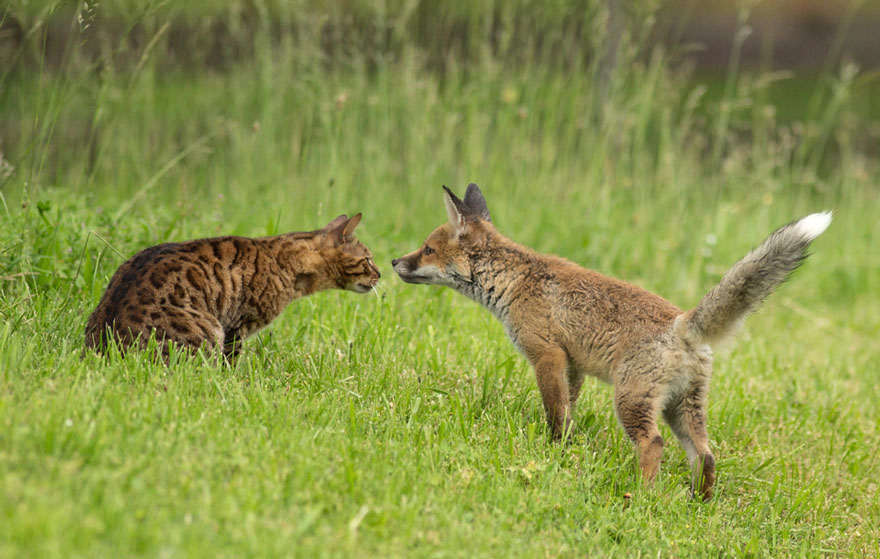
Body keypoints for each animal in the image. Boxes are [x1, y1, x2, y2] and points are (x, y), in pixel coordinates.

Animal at [392, 183, 831, 499]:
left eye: (427, 249)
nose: (395, 261)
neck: (515, 281)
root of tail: (683, 323)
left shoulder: (546, 354)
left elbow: (555, 413)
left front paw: (553, 451)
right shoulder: (572, 366)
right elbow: (567, 410)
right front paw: (565, 448)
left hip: (631, 401)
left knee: (653, 445)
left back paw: (641, 497)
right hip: (682, 409)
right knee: (706, 455)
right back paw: (699, 504)